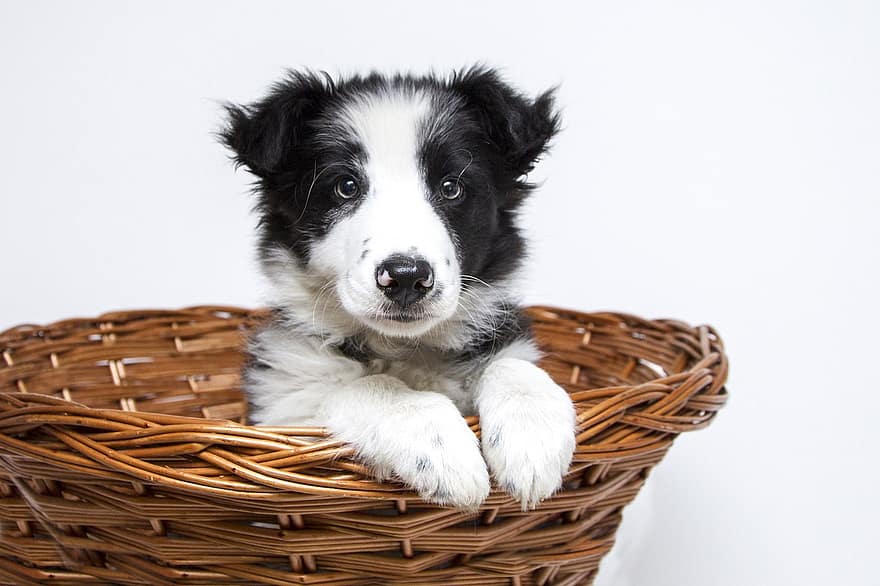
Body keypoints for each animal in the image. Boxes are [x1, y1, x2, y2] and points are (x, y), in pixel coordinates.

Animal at [222, 66, 576, 508]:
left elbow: (512, 365)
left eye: (451, 187)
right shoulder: (284, 404)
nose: (406, 276)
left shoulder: (503, 336)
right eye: (346, 186)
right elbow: (371, 385)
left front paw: (533, 441)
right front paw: (442, 449)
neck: (405, 347)